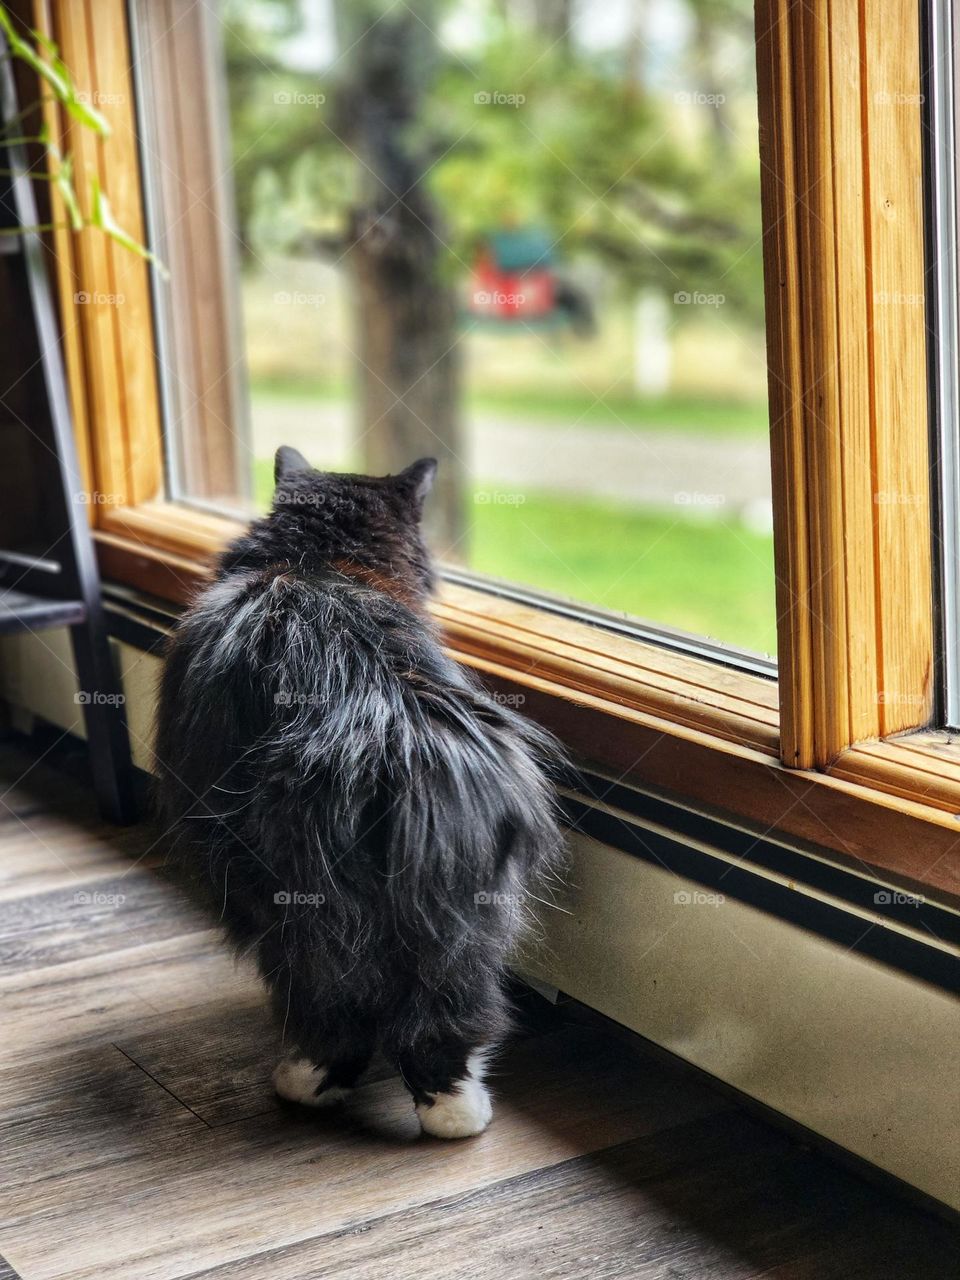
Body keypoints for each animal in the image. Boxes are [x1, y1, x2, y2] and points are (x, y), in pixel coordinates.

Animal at [154, 450, 568, 1141]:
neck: (313, 560)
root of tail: (392, 733)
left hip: (289, 895)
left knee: (333, 1006)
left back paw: (308, 1082)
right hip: (464, 914)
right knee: (448, 1013)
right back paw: (453, 1114)